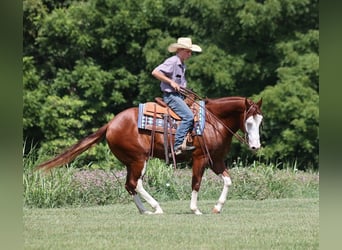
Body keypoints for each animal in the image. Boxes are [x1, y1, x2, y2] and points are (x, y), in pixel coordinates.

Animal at [36, 95, 262, 215]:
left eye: (260, 121)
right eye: (248, 121)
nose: (255, 146)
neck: (214, 122)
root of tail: (111, 123)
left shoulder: (216, 160)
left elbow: (228, 181)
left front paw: (217, 207)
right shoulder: (200, 159)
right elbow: (196, 183)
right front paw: (195, 209)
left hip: (131, 162)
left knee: (129, 185)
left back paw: (145, 210)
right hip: (139, 159)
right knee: (135, 183)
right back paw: (156, 207)